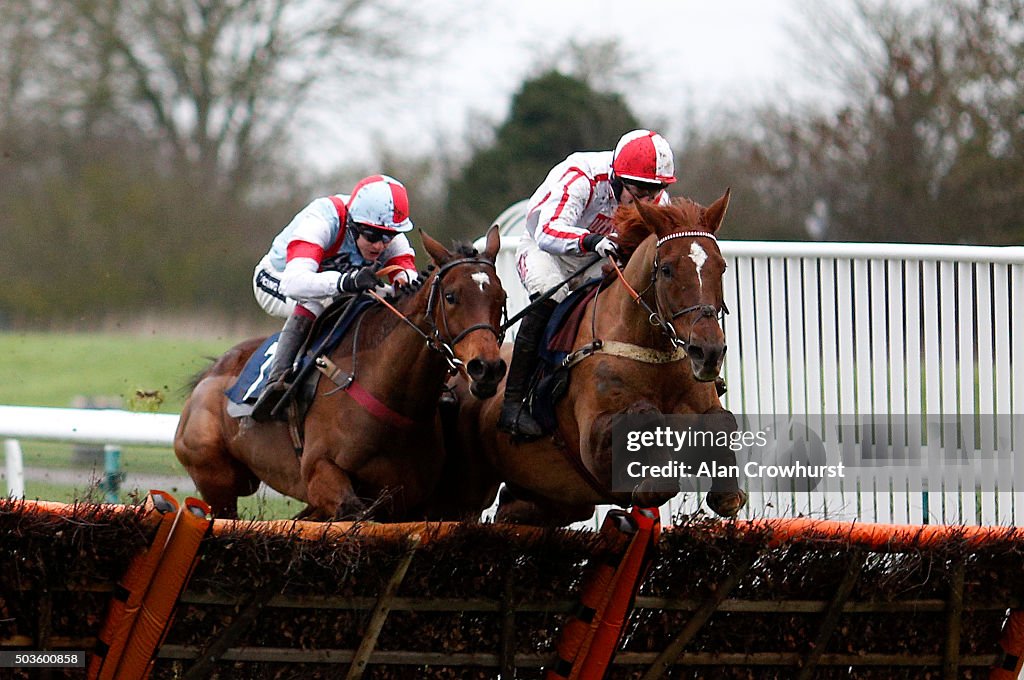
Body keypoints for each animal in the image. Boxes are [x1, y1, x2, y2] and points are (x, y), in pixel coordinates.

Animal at [179, 228, 512, 520]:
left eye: (502, 298)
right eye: (451, 296)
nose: (487, 368)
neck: (391, 394)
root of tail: (209, 374)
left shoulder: (410, 499)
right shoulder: (319, 472)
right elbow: (352, 513)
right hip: (216, 478)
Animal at [440, 191, 745, 524]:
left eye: (721, 267)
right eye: (666, 269)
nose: (708, 351)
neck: (650, 351)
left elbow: (721, 421)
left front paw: (727, 495)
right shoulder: (593, 442)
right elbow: (646, 417)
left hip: (557, 500)